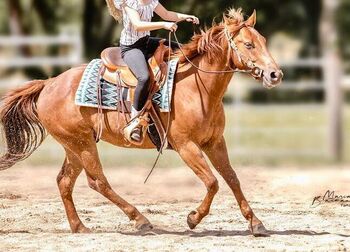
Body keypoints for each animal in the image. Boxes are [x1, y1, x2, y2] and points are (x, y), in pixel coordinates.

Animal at [0, 7, 282, 236]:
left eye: (263, 41)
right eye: (248, 45)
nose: (275, 74)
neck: (196, 87)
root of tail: (48, 84)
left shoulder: (214, 142)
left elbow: (232, 178)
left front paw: (256, 223)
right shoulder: (186, 146)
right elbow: (212, 182)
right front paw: (193, 218)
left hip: (74, 146)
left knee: (65, 182)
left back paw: (79, 226)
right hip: (81, 144)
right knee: (98, 181)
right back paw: (140, 219)